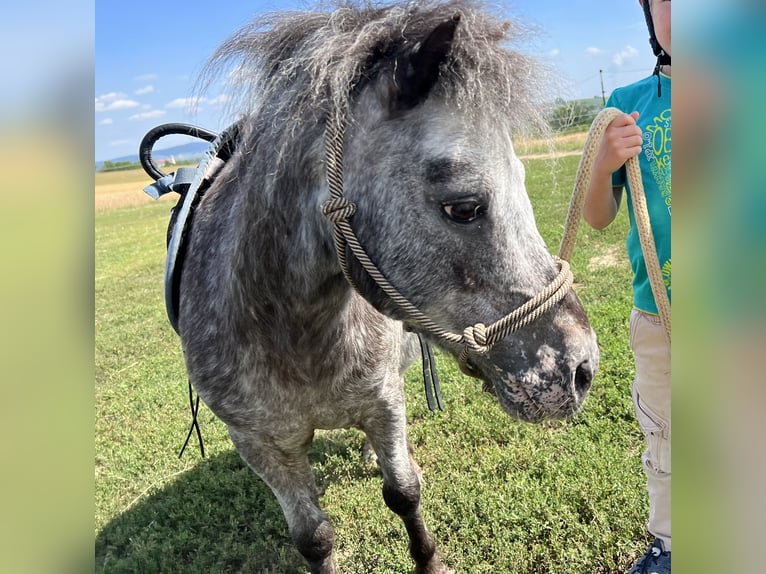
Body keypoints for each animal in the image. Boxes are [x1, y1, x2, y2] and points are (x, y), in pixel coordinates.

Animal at [167, 1, 599, 572]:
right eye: (464, 207)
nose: (582, 369)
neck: (291, 330)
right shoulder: (262, 444)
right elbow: (313, 538)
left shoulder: (384, 404)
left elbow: (404, 492)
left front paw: (430, 560)